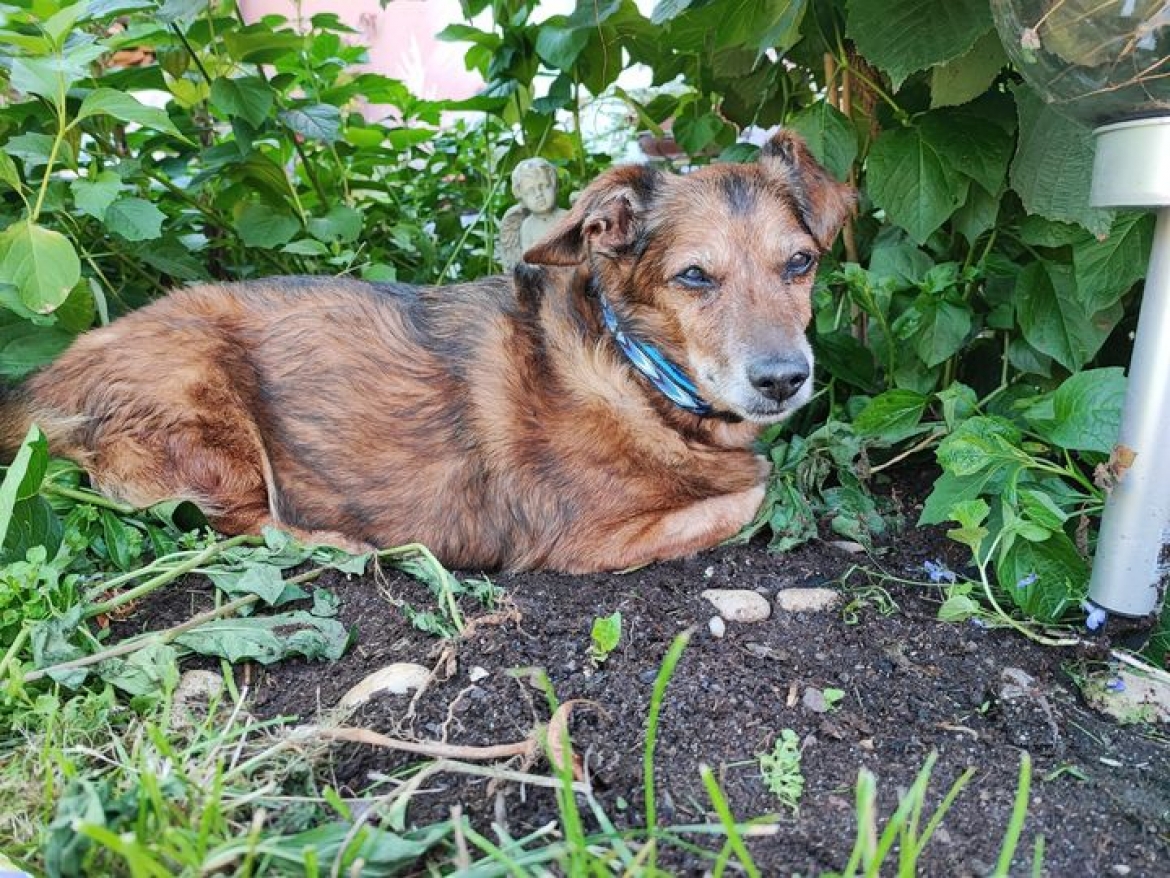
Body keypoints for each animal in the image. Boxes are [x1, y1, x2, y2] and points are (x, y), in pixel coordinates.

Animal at [2, 130, 861, 571]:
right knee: (242, 524)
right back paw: (350, 544)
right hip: (203, 402)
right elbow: (756, 490)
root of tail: (43, 378)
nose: (783, 380)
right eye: (693, 277)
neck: (637, 370)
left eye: (799, 264)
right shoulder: (583, 541)